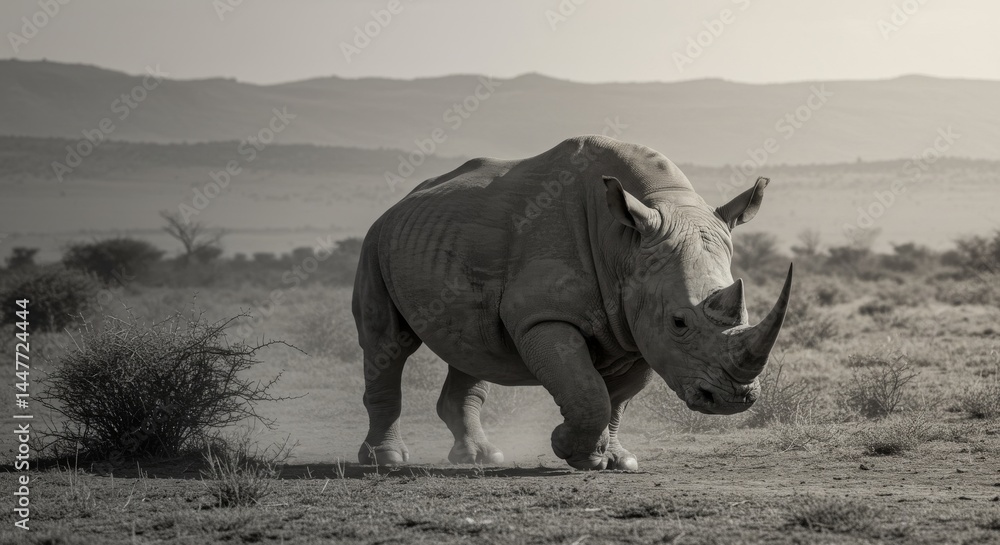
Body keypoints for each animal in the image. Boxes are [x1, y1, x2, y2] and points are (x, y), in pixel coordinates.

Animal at [353, 135, 792, 470]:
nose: (733, 399)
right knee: (386, 342)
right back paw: (385, 461)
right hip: (375, 240)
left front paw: (616, 460)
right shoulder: (544, 316)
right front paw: (569, 448)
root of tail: (402, 201)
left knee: (473, 347)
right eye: (679, 322)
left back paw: (480, 458)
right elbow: (587, 390)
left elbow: (617, 401)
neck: (626, 243)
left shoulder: (637, 327)